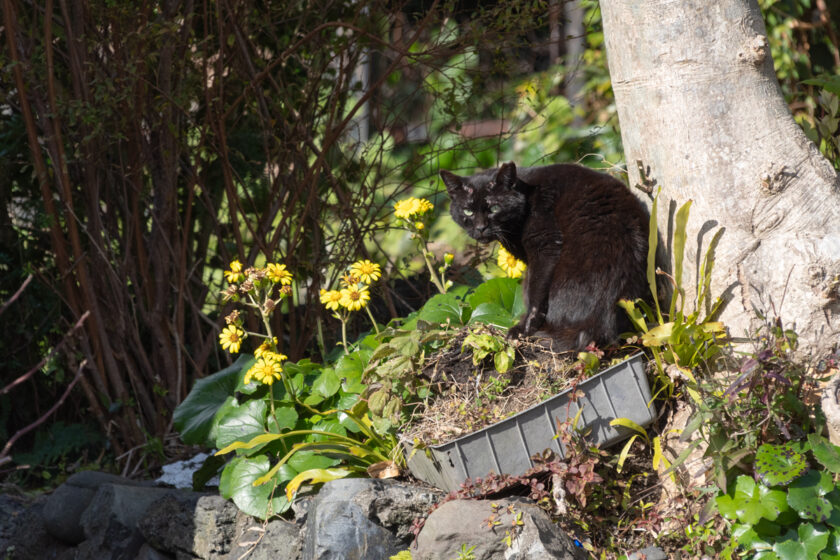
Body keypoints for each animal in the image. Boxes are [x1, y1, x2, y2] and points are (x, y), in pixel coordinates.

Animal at [440, 160, 648, 350]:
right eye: (468, 211)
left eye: (494, 208)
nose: (481, 228)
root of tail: (596, 322)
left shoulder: (545, 246)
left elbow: (536, 292)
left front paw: (524, 327)